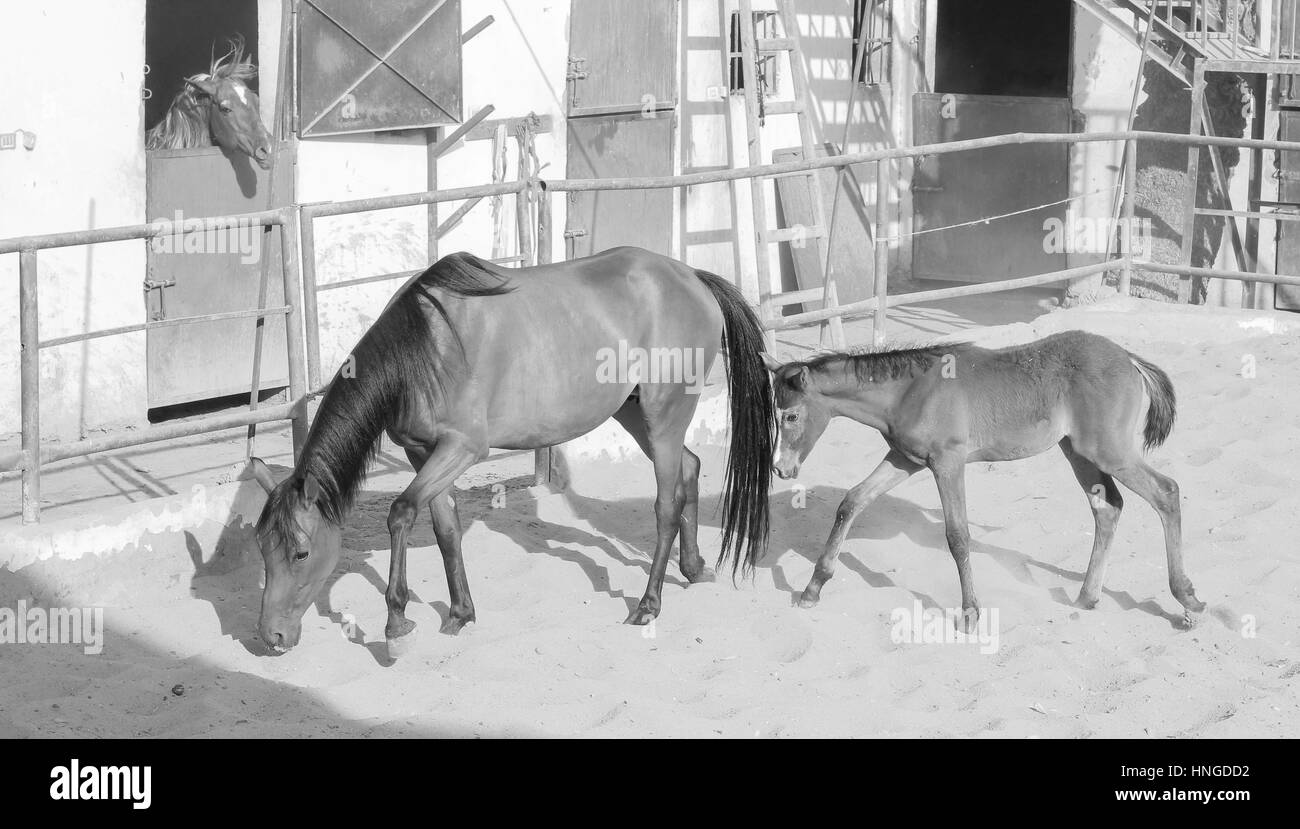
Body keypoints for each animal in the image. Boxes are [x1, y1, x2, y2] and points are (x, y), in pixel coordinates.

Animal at [241, 247, 775, 653]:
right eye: (261, 548)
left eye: (301, 553)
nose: (271, 637)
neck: (426, 346)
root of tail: (693, 277)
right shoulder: (423, 453)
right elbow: (445, 529)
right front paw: (460, 613)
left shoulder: (462, 449)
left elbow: (401, 512)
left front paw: (396, 623)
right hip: (636, 413)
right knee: (690, 468)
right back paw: (694, 568)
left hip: (664, 415)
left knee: (666, 504)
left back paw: (648, 605)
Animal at [762, 329, 1206, 629]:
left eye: (792, 416)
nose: (781, 469)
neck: (909, 391)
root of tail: (1128, 357)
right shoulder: (904, 459)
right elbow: (852, 501)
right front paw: (812, 588)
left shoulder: (948, 463)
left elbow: (958, 536)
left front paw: (971, 613)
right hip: (1078, 452)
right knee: (1108, 508)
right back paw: (1086, 596)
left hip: (1108, 451)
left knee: (1166, 492)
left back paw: (1187, 600)